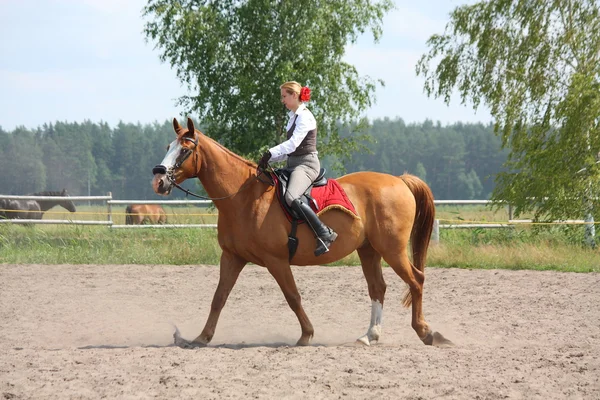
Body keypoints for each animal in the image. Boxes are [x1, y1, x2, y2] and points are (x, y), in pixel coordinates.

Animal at [152, 117, 452, 348]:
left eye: (184, 151)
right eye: (168, 147)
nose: (159, 179)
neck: (244, 197)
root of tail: (399, 181)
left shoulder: (276, 260)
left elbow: (293, 296)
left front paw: (306, 335)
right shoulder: (232, 257)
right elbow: (218, 298)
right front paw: (201, 338)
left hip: (393, 250)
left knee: (416, 280)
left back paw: (426, 333)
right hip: (369, 250)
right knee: (378, 288)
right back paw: (369, 336)